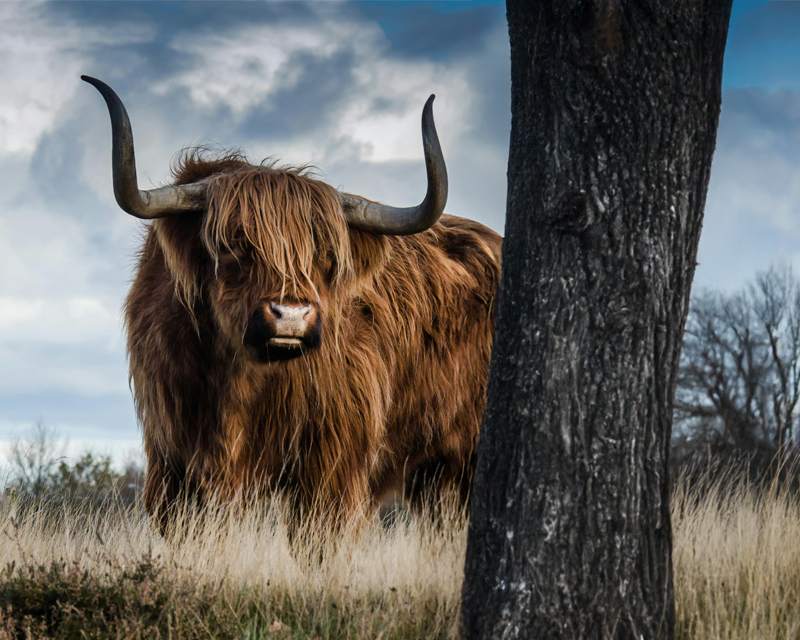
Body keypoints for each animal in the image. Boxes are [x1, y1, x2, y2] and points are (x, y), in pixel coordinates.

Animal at [82, 75, 501, 530]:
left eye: (327, 255)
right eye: (234, 245)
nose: (291, 316)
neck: (237, 383)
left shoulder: (332, 465)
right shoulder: (173, 461)